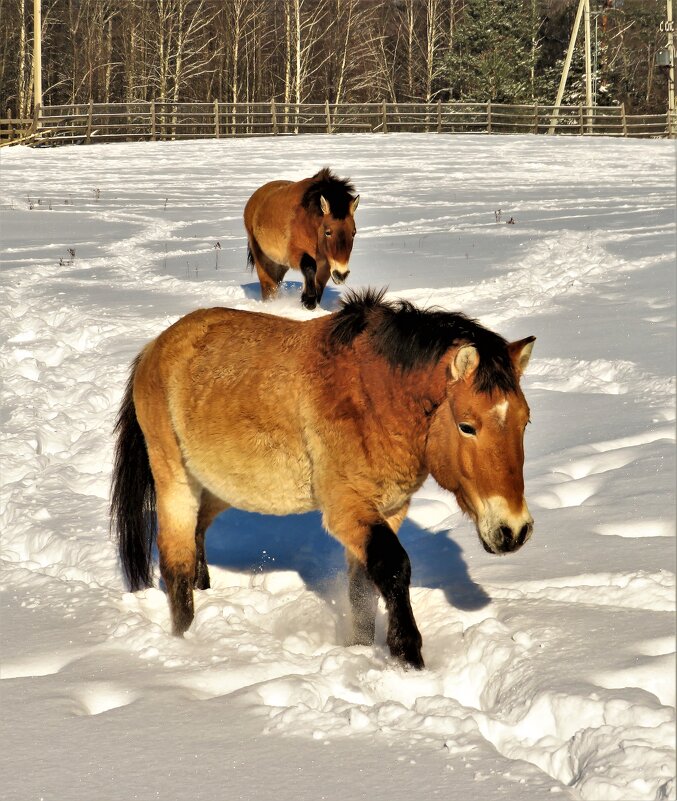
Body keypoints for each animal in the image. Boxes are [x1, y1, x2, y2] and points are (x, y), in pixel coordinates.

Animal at [111, 290, 532, 668]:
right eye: (467, 426)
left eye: (525, 421)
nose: (514, 530)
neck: (373, 398)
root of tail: (154, 348)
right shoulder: (347, 507)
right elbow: (394, 566)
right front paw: (407, 656)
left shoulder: (388, 509)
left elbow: (363, 588)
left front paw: (360, 650)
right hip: (174, 480)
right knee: (176, 560)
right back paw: (185, 641)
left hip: (218, 486)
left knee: (198, 534)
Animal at [243, 166, 360, 310]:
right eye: (328, 232)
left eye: (353, 232)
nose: (341, 274)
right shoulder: (296, 254)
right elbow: (309, 267)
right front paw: (308, 300)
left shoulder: (327, 264)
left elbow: (319, 284)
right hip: (263, 258)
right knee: (268, 287)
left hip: (280, 264)